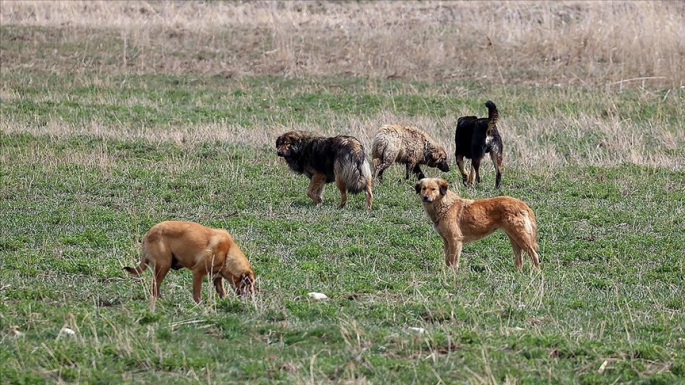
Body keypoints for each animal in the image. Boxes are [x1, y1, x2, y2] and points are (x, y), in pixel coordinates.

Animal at [123, 220, 254, 304]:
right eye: (249, 284)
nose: (253, 297)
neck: (227, 253)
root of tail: (148, 234)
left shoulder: (216, 277)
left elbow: (222, 291)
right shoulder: (198, 273)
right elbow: (197, 293)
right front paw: (199, 305)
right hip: (164, 265)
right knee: (154, 287)